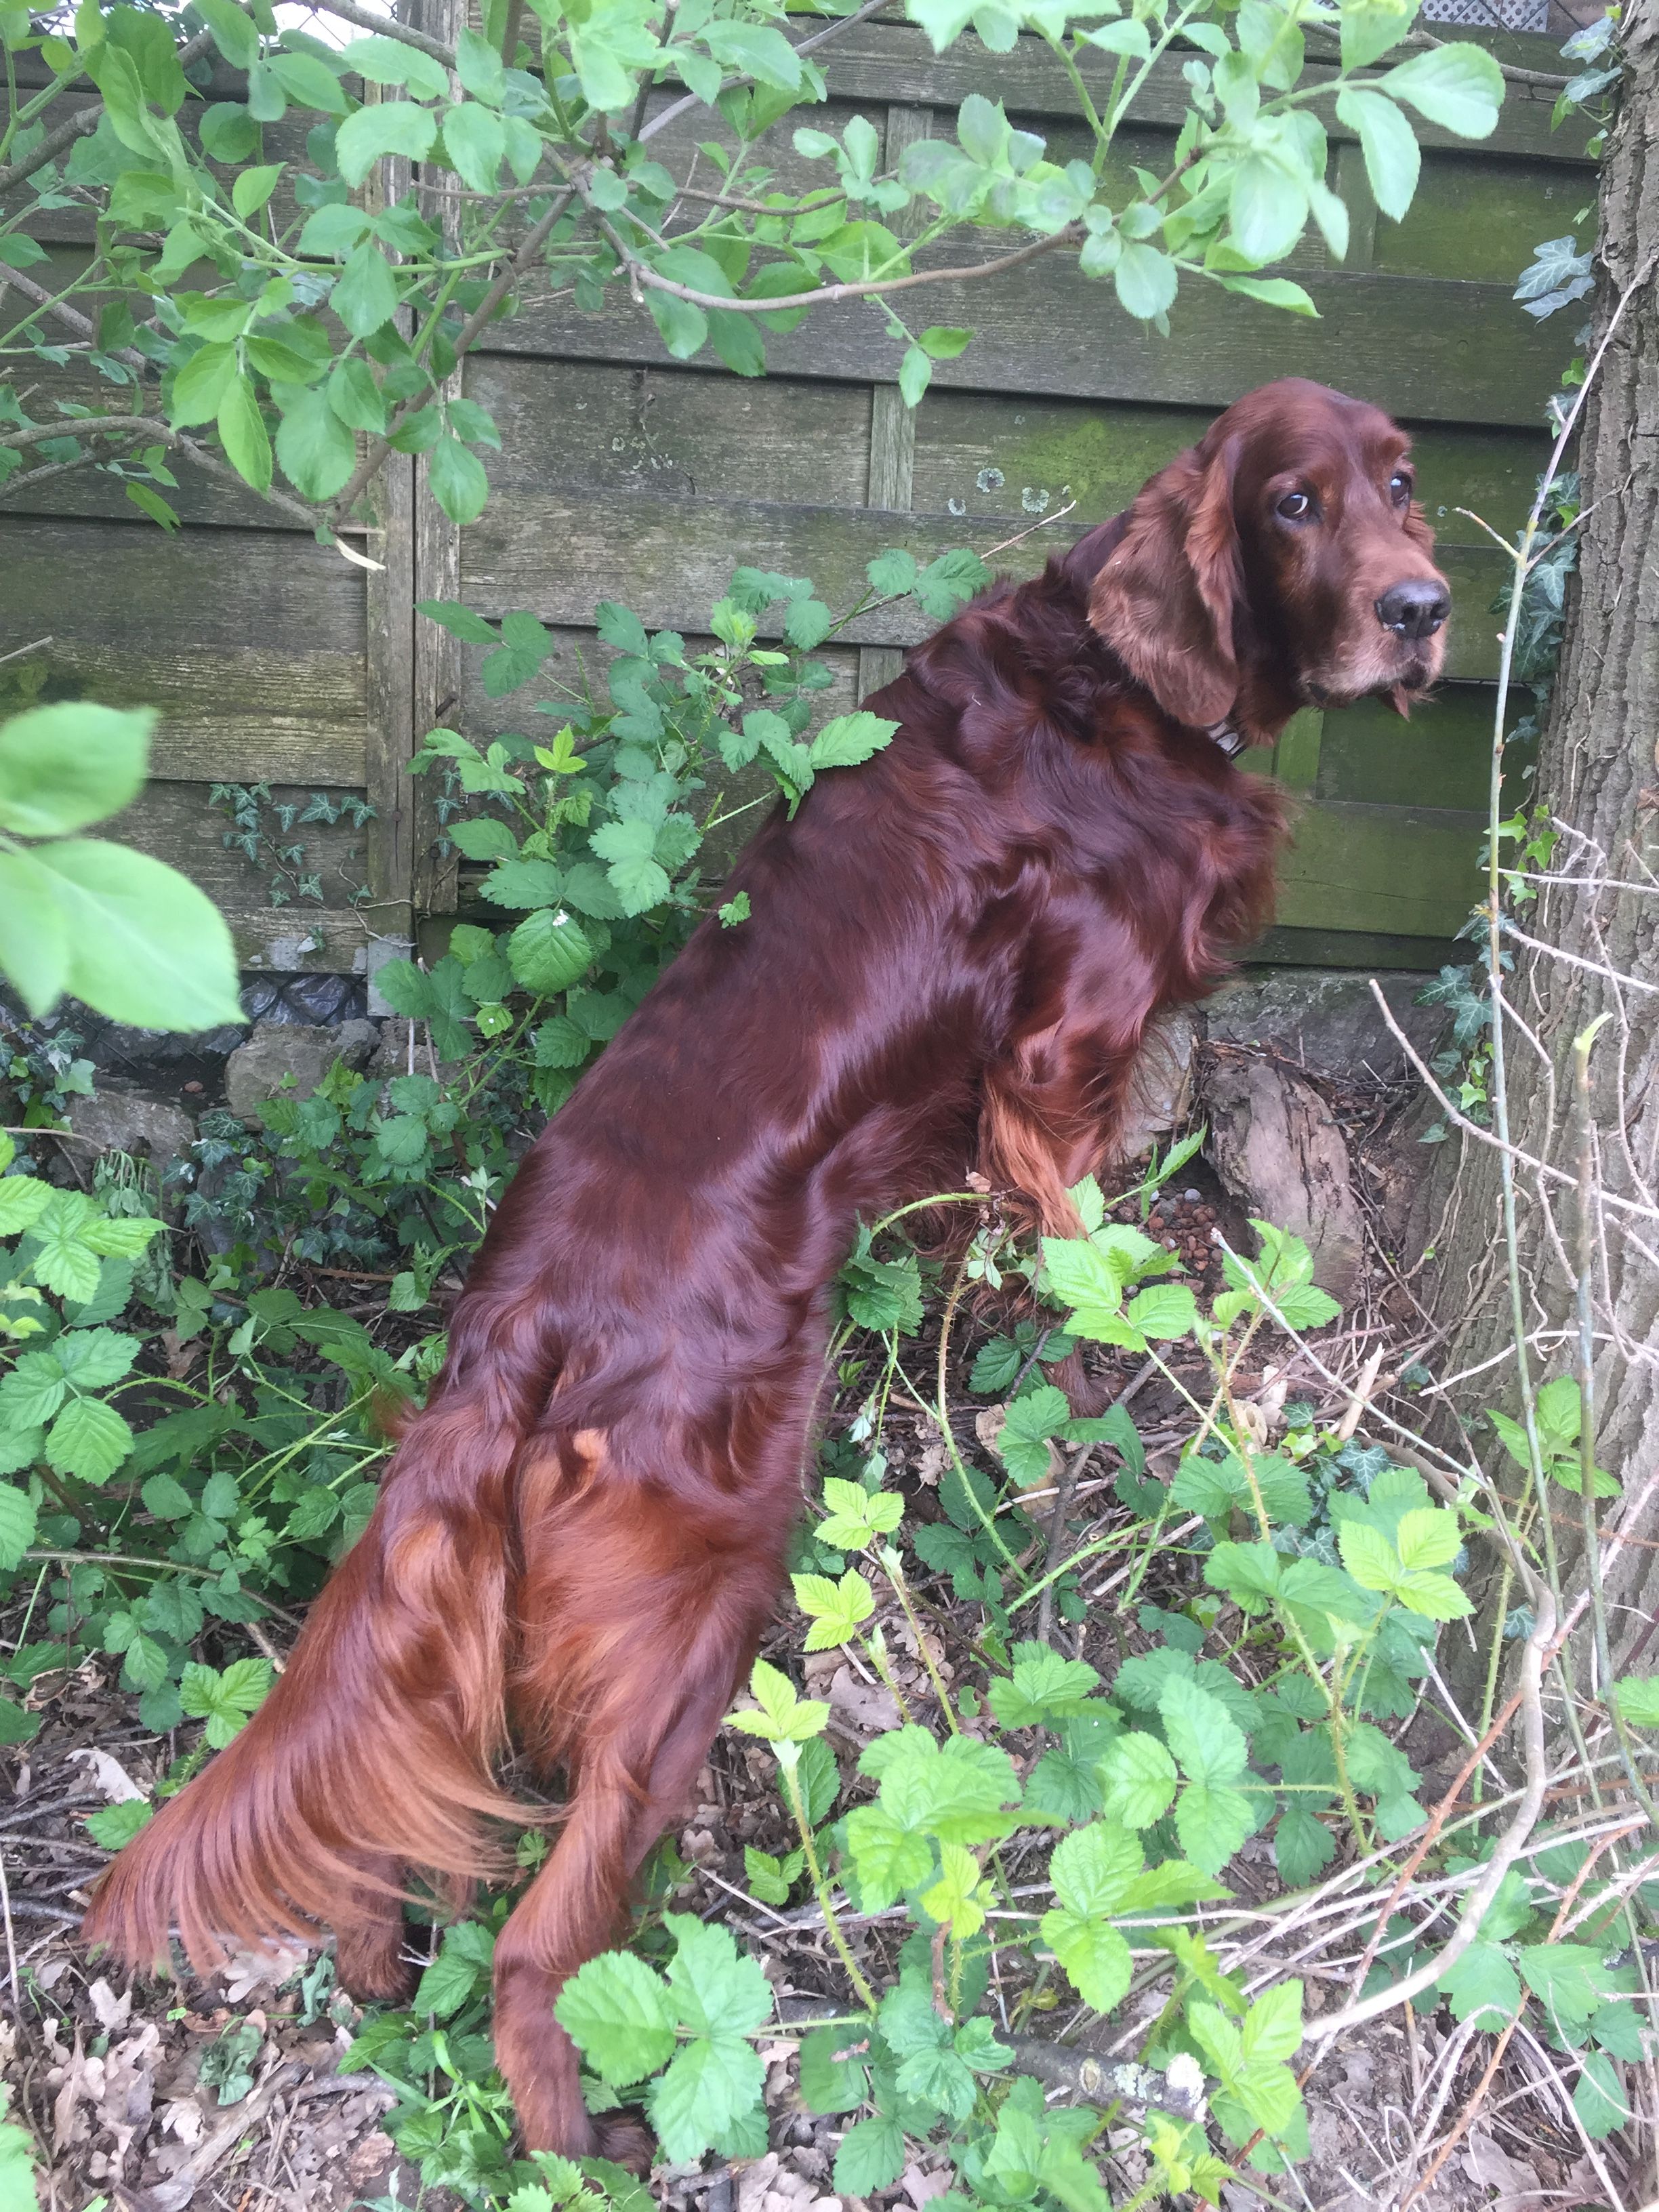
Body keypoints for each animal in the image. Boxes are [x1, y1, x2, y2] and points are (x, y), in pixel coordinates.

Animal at [84, 376, 1449, 2159]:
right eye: (1292, 502)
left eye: (1401, 483)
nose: (1424, 609)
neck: (1122, 683)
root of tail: (522, 1323)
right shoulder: (1062, 1052)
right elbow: (1073, 1244)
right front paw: (1112, 1342)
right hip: (701, 1602)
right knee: (537, 1936)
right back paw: (585, 2137)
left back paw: (382, 1955)